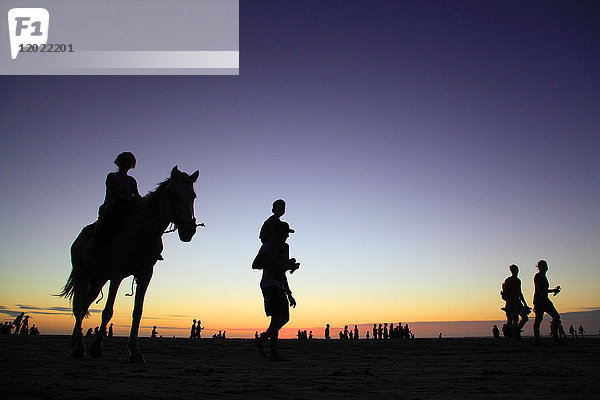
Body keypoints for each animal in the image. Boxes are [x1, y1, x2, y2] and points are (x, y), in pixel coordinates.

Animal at [59, 166, 199, 362]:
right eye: (173, 194)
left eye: (193, 195)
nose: (188, 230)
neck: (142, 233)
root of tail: (78, 239)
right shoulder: (117, 274)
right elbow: (107, 311)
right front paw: (96, 348)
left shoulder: (145, 275)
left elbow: (137, 312)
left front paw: (135, 352)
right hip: (81, 273)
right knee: (79, 306)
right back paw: (78, 348)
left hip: (98, 278)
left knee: (84, 304)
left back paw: (74, 344)